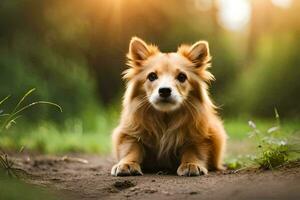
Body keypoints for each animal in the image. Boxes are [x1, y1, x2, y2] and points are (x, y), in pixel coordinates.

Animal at [111, 36, 226, 176]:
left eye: (182, 77)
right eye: (152, 76)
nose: (164, 90)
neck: (165, 117)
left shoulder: (201, 137)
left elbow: (193, 151)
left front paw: (191, 164)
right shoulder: (129, 134)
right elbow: (131, 149)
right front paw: (127, 163)